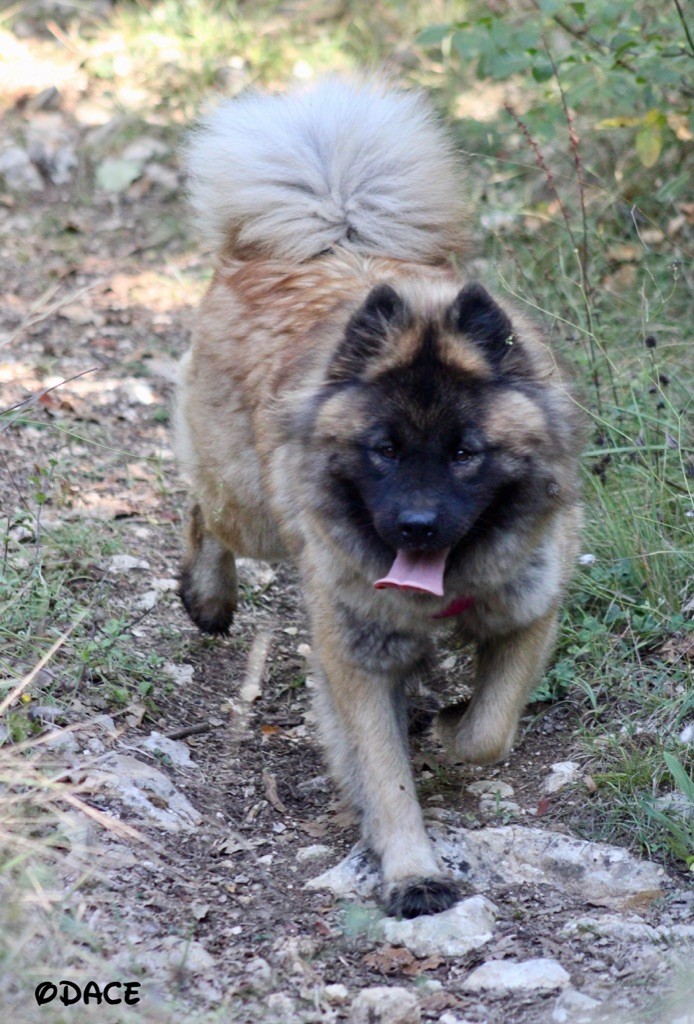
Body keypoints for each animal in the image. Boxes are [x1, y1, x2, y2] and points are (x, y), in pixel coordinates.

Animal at [175, 75, 585, 917]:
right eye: (384, 450)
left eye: (466, 453)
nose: (417, 525)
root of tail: (332, 234)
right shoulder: (353, 655)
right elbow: (385, 771)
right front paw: (411, 873)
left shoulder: (529, 616)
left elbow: (490, 731)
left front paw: (447, 726)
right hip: (249, 506)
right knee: (204, 510)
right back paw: (207, 597)